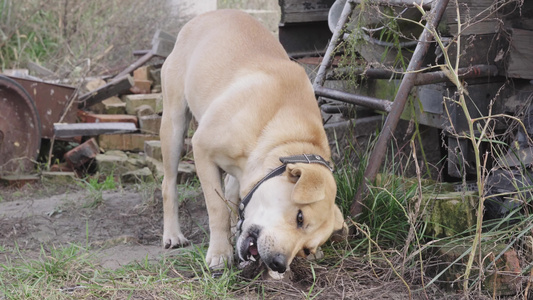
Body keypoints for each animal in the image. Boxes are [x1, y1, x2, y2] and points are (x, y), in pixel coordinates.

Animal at [160, 9, 348, 274]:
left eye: (305, 250)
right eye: (300, 218)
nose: (279, 264)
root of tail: (208, 15)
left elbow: (230, 203)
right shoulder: (202, 150)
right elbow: (217, 209)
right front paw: (219, 253)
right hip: (174, 124)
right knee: (169, 184)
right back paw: (173, 234)